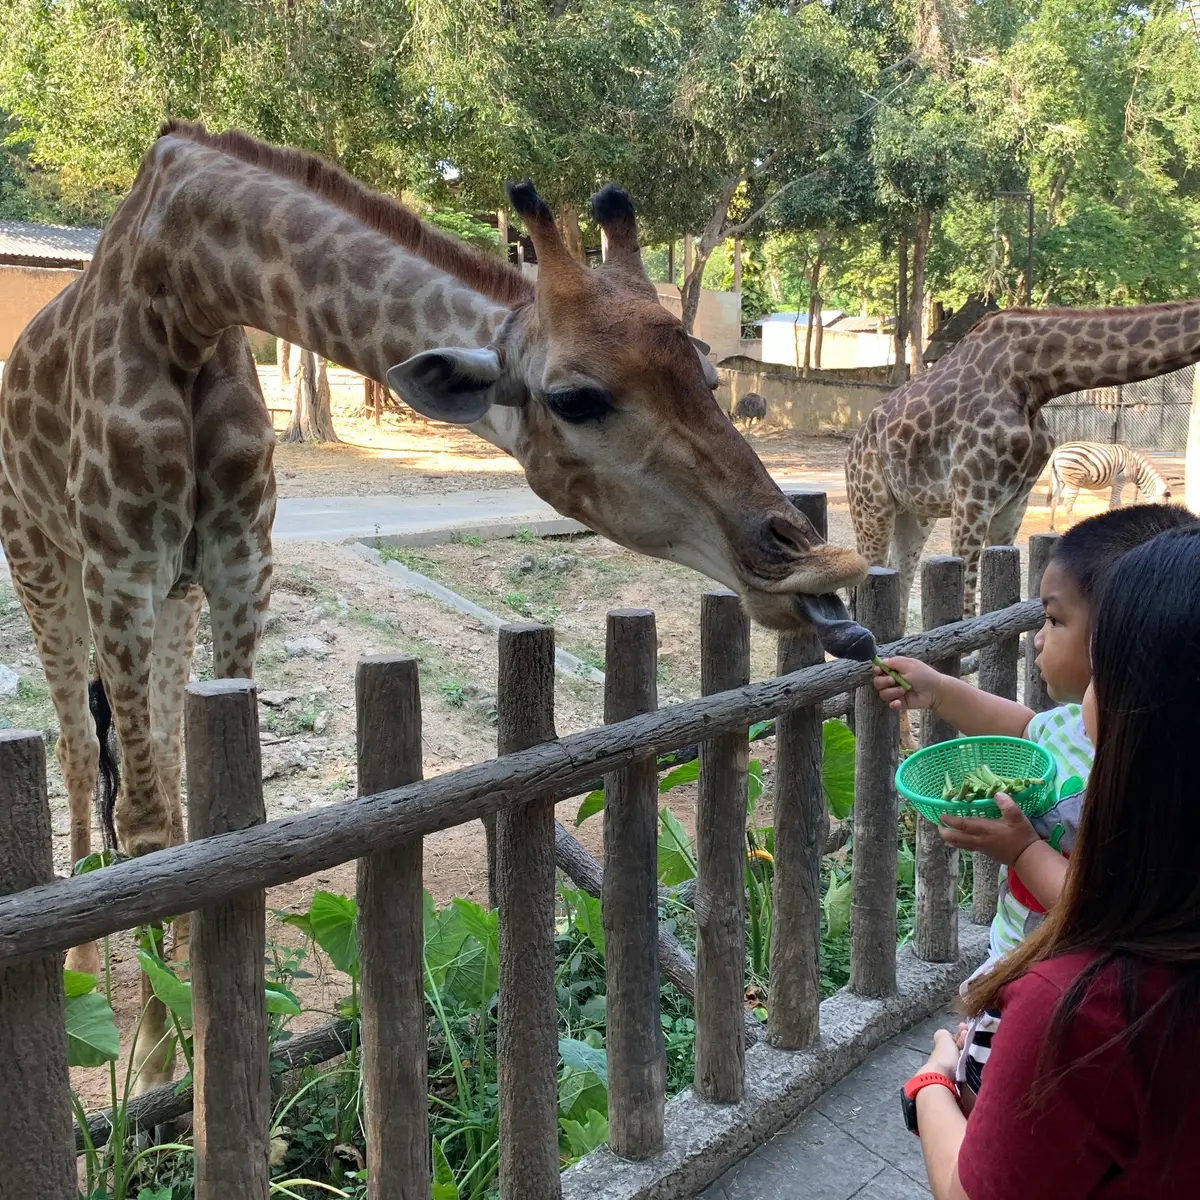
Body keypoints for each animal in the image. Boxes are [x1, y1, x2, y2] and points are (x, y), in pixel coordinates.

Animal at [0, 121, 869, 1093]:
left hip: (171, 600)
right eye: (575, 398)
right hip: (45, 560)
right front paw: (157, 1070)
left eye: (708, 375)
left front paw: (210, 1023)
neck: (185, 290)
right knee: (80, 752)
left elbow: (218, 824)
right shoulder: (122, 562)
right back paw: (83, 970)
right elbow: (149, 826)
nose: (817, 576)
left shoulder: (237, 563)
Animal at [845, 301, 1200, 624]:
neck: (1035, 376)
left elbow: (997, 609)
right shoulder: (971, 499)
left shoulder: (1013, 503)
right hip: (871, 506)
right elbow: (967, 611)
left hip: (915, 513)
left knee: (899, 586)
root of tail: (854, 446)